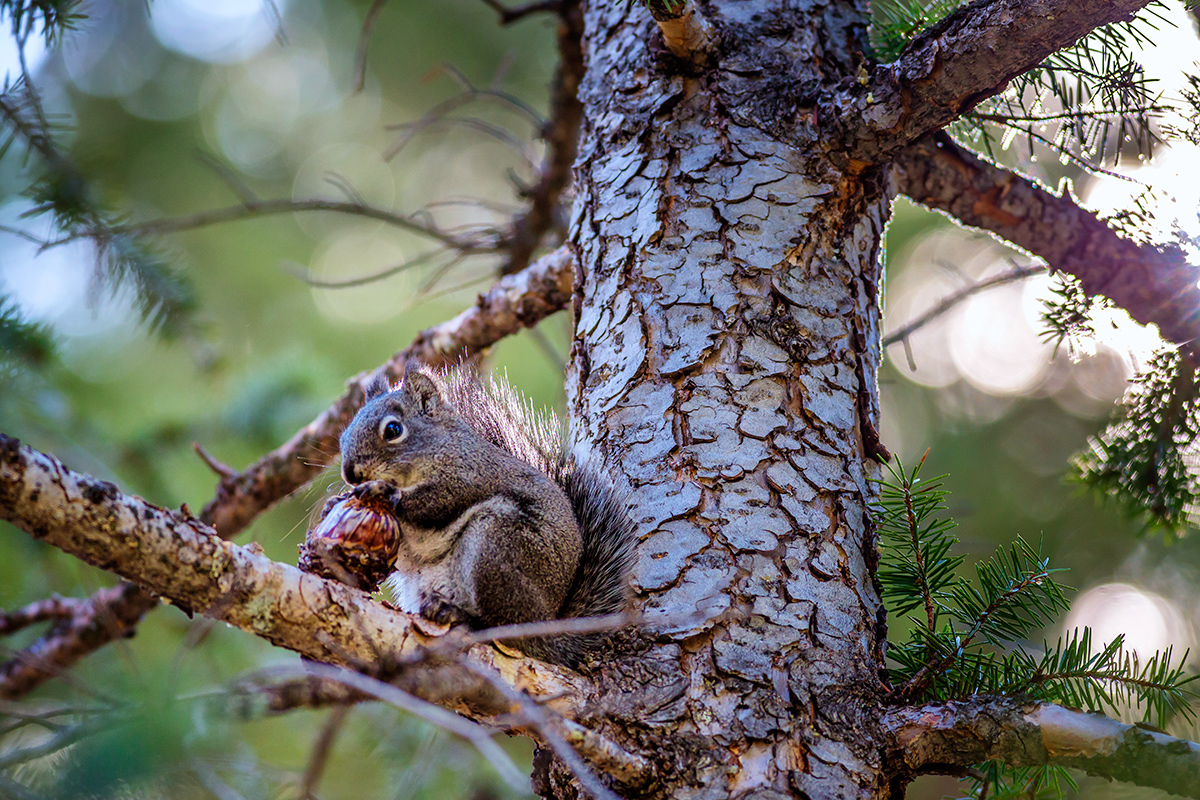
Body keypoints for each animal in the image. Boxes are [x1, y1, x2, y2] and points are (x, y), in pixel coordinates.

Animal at [338, 362, 638, 671]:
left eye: (393, 429)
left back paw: (459, 615)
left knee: (497, 624)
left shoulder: (470, 476)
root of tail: (543, 627)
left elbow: (435, 501)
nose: (350, 473)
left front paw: (384, 492)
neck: (441, 447)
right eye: (345, 432)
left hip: (495, 545)